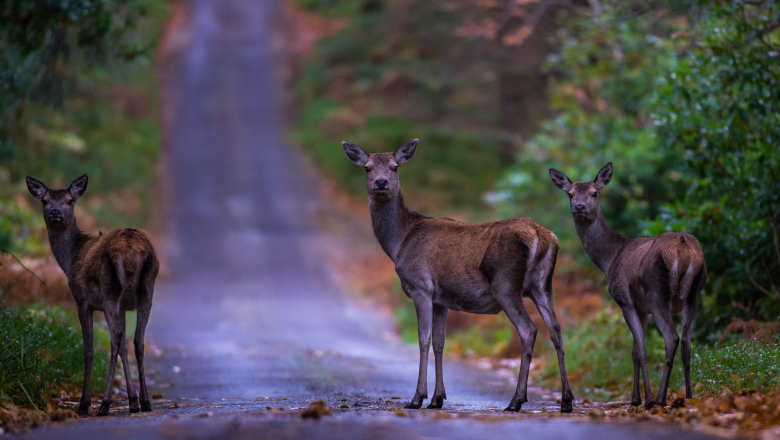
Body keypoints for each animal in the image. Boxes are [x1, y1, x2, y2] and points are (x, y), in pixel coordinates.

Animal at [26, 175, 159, 416]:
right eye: (45, 200)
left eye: (69, 201)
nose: (55, 212)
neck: (70, 260)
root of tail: (131, 250)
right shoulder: (124, 307)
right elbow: (125, 346)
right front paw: (133, 400)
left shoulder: (81, 301)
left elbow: (88, 350)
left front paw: (84, 403)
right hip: (147, 290)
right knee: (137, 340)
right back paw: (145, 402)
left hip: (108, 291)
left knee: (114, 339)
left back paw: (104, 404)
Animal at [344, 140, 576, 412]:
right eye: (367, 168)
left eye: (395, 167)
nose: (381, 182)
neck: (399, 241)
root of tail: (542, 236)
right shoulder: (441, 299)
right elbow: (440, 342)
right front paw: (437, 398)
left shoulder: (421, 287)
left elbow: (423, 339)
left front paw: (417, 398)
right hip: (542, 285)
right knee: (556, 329)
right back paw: (566, 400)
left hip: (506, 284)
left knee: (529, 330)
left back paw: (516, 400)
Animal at [548, 162, 708, 410]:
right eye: (570, 194)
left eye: (595, 192)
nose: (579, 206)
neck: (609, 259)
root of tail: (683, 251)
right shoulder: (642, 309)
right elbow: (634, 351)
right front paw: (635, 399)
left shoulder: (625, 300)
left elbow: (640, 351)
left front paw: (646, 399)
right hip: (694, 295)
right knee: (687, 343)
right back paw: (690, 396)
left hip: (658, 293)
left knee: (672, 338)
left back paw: (660, 399)